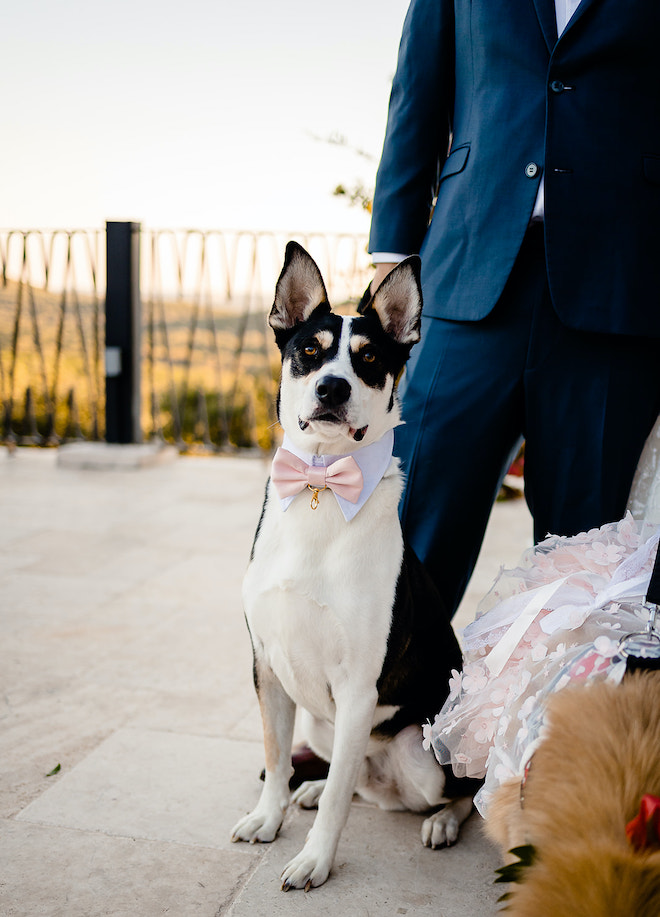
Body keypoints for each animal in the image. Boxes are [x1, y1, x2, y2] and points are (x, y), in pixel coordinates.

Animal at [231, 242, 474, 888]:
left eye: (368, 359)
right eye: (309, 352)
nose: (332, 389)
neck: (321, 484)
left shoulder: (358, 688)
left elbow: (342, 798)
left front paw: (315, 860)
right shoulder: (268, 666)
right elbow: (276, 756)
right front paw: (270, 817)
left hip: (421, 750)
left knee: (459, 789)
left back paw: (442, 822)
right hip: (323, 722)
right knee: (356, 780)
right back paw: (310, 789)